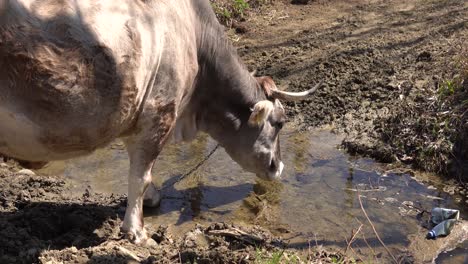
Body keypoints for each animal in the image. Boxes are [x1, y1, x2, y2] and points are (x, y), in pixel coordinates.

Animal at [0, 0, 318, 243]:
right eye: (280, 122)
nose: (279, 168)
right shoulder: (159, 114)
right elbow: (140, 176)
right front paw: (136, 231)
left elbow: (144, 173)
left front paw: (151, 200)